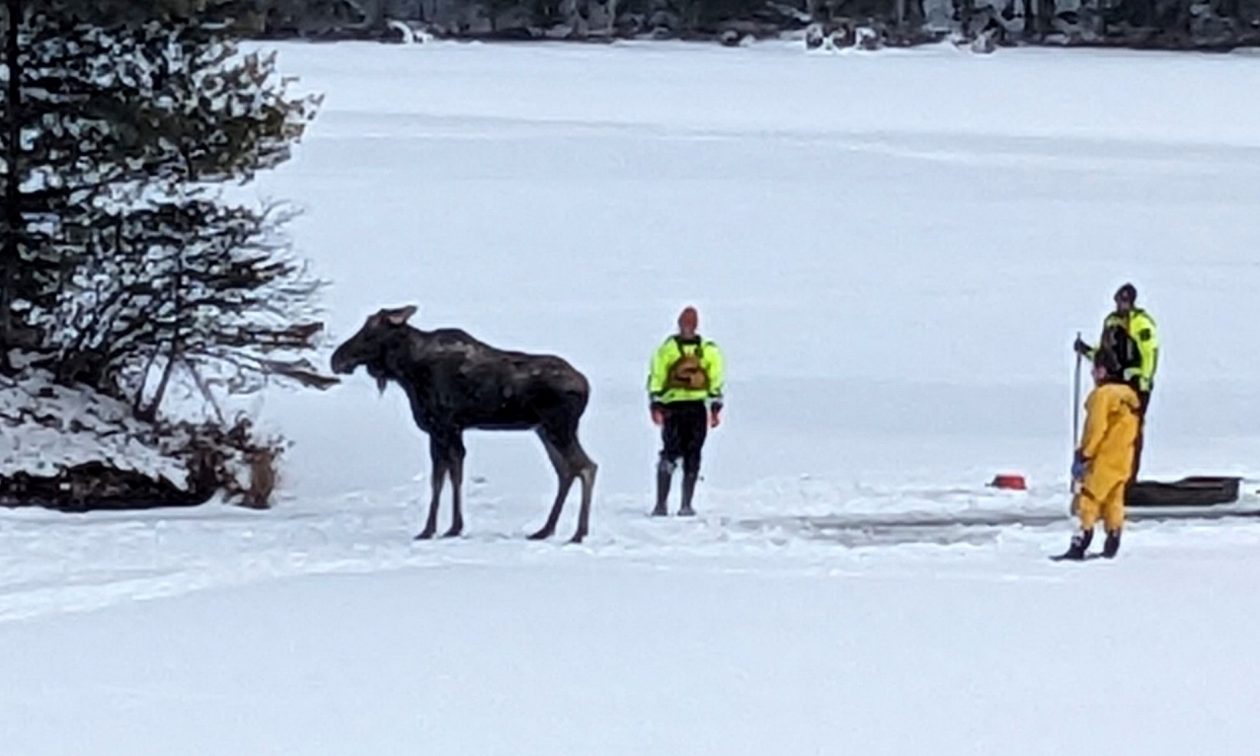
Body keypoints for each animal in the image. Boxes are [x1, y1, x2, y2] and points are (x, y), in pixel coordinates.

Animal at [327, 306, 597, 544]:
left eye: (369, 333)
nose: (336, 359)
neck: (408, 371)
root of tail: (586, 387)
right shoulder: (452, 430)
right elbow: (454, 473)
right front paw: (453, 527)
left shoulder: (441, 427)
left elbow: (439, 479)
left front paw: (430, 530)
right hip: (544, 430)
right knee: (566, 471)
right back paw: (545, 529)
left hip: (558, 428)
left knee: (586, 467)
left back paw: (577, 533)